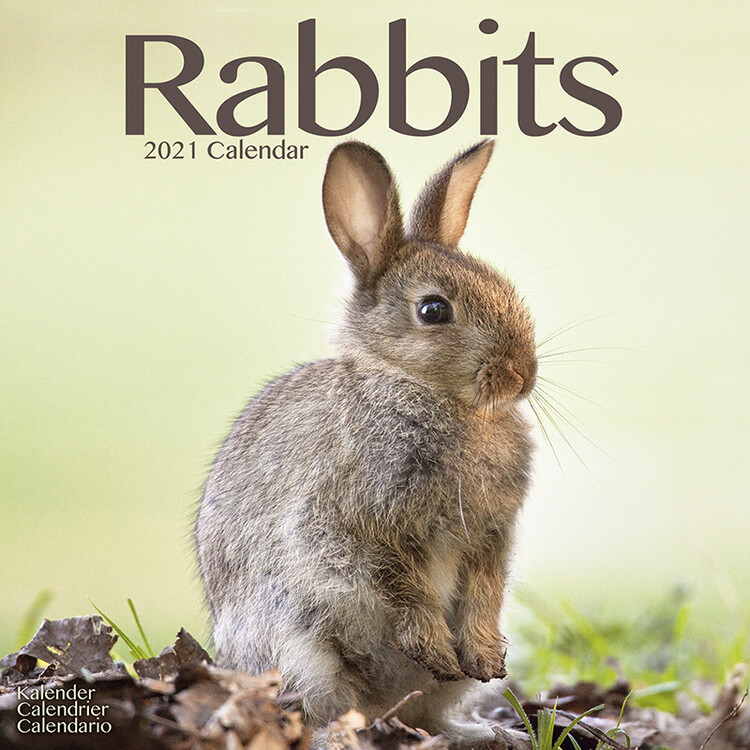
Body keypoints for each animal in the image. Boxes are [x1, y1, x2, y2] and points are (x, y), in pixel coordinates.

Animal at [194, 139, 537, 748]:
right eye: (433, 310)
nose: (524, 374)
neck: (422, 387)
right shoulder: (362, 525)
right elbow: (403, 587)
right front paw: (434, 646)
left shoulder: (491, 535)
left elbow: (485, 589)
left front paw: (483, 655)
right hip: (303, 652)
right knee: (325, 712)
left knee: (426, 715)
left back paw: (488, 734)